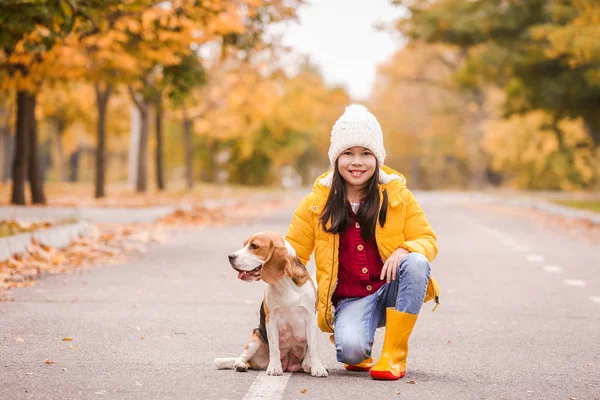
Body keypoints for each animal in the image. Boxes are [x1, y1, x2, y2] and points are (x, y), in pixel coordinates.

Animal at [213, 231, 328, 378]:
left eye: (254, 246)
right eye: (244, 244)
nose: (230, 257)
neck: (284, 283)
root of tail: (289, 366)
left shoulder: (310, 318)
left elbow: (313, 346)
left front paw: (318, 368)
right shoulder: (271, 319)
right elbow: (274, 347)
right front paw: (274, 367)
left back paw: (308, 366)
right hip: (255, 339)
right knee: (242, 357)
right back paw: (241, 365)